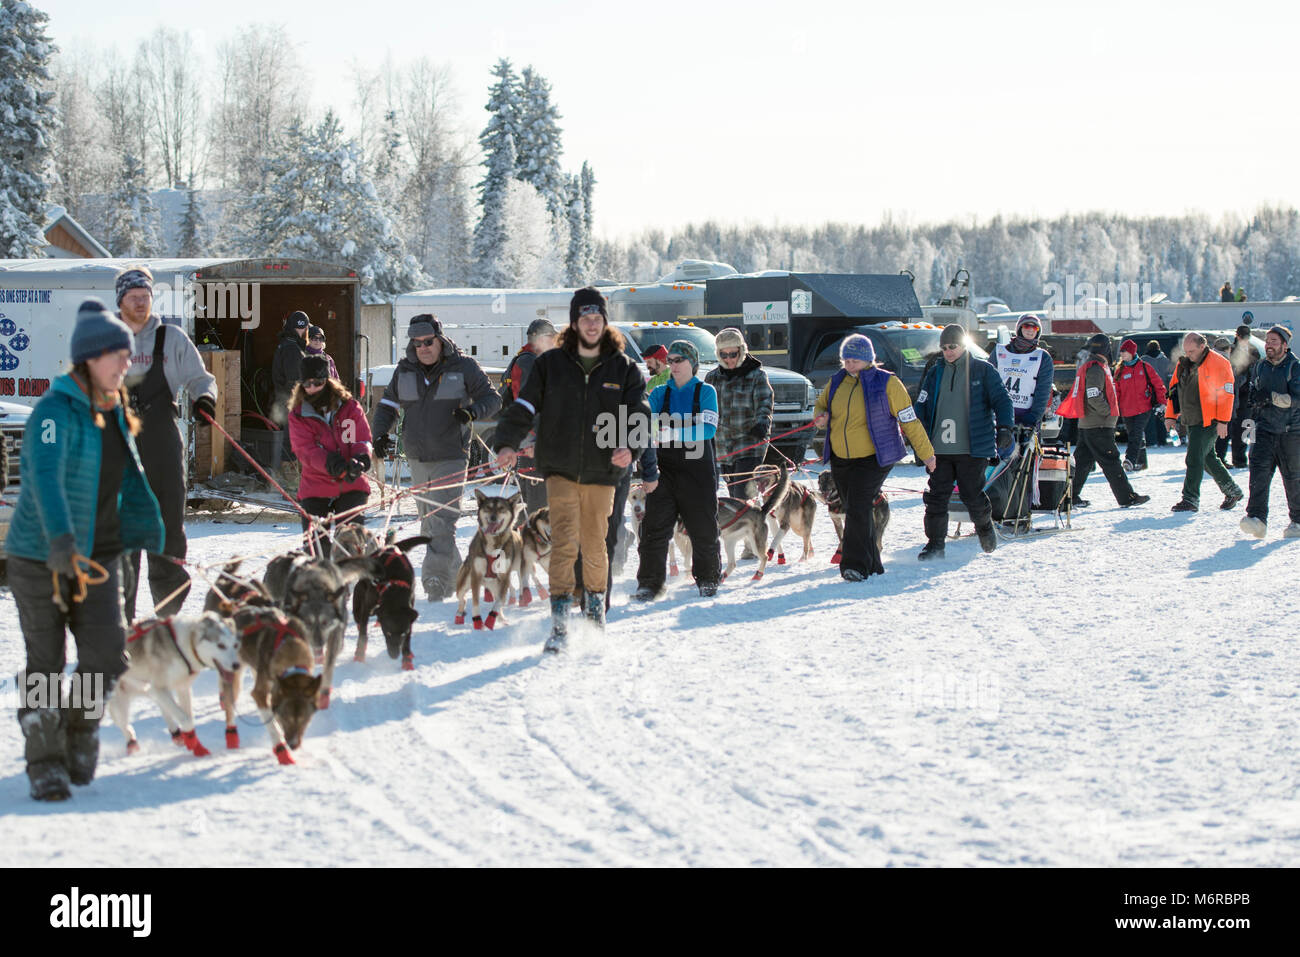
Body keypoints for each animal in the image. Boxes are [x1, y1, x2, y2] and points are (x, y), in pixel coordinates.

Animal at [109, 616, 241, 759]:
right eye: (221, 645)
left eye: (235, 645)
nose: (237, 665)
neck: (186, 645)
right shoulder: (159, 688)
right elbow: (185, 719)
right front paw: (192, 742)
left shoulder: (183, 688)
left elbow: (188, 716)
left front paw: (196, 746)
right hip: (120, 706)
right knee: (126, 726)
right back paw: (132, 743)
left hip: (148, 691)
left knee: (162, 708)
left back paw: (175, 734)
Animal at [223, 608, 319, 764]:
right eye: (286, 718)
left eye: (305, 720)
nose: (293, 745)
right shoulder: (259, 694)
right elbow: (273, 726)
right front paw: (282, 752)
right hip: (233, 677)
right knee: (229, 703)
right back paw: (231, 736)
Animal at [353, 535, 428, 670]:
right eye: (387, 632)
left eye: (403, 634)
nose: (394, 655)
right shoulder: (367, 608)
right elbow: (363, 634)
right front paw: (359, 655)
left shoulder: (409, 612)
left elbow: (408, 639)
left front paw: (406, 659)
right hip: (359, 598)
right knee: (359, 619)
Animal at [452, 488, 522, 631]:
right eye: (488, 508)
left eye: (501, 508)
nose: (493, 517)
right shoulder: (476, 576)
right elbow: (475, 601)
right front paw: (478, 622)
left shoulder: (504, 577)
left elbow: (498, 602)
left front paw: (491, 620)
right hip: (464, 583)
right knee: (462, 599)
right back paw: (459, 615)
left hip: (496, 585)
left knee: (499, 600)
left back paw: (501, 618)